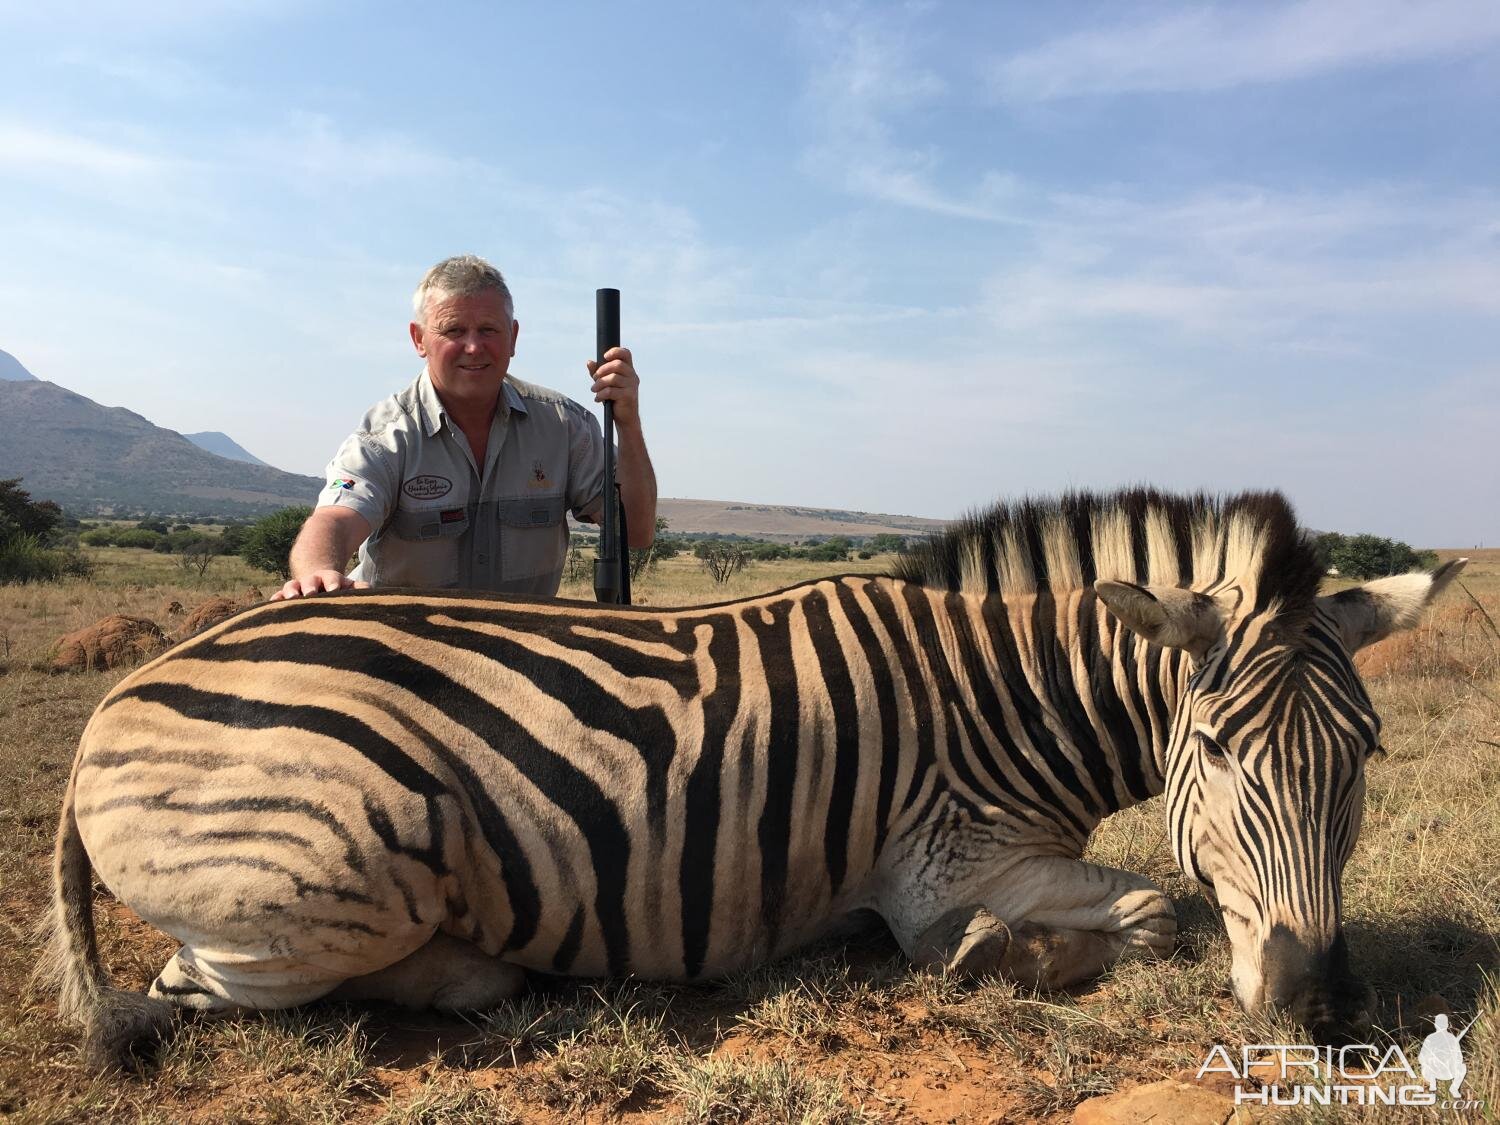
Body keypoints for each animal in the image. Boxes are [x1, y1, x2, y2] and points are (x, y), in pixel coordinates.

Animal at [46, 486, 1464, 1068]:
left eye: (1366, 757)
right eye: (1217, 751)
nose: (1325, 1013)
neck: (1006, 689)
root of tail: (120, 696)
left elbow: (1165, 903)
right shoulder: (949, 865)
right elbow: (1158, 906)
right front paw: (998, 958)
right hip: (331, 867)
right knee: (191, 988)